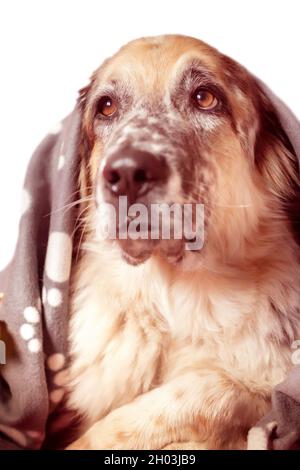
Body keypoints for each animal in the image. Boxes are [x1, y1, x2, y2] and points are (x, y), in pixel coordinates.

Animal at [64, 35, 300, 450]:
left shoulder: (274, 388)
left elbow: (203, 387)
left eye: (205, 98)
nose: (127, 173)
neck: (172, 300)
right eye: (106, 107)